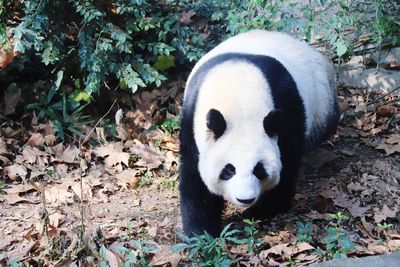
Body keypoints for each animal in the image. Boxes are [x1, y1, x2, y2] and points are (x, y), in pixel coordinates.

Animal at [180, 29, 340, 237]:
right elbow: (194, 174)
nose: (245, 199)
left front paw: (262, 210)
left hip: (321, 96)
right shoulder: (192, 117)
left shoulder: (287, 106)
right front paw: (200, 231)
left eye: (259, 169)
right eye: (228, 170)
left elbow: (287, 159)